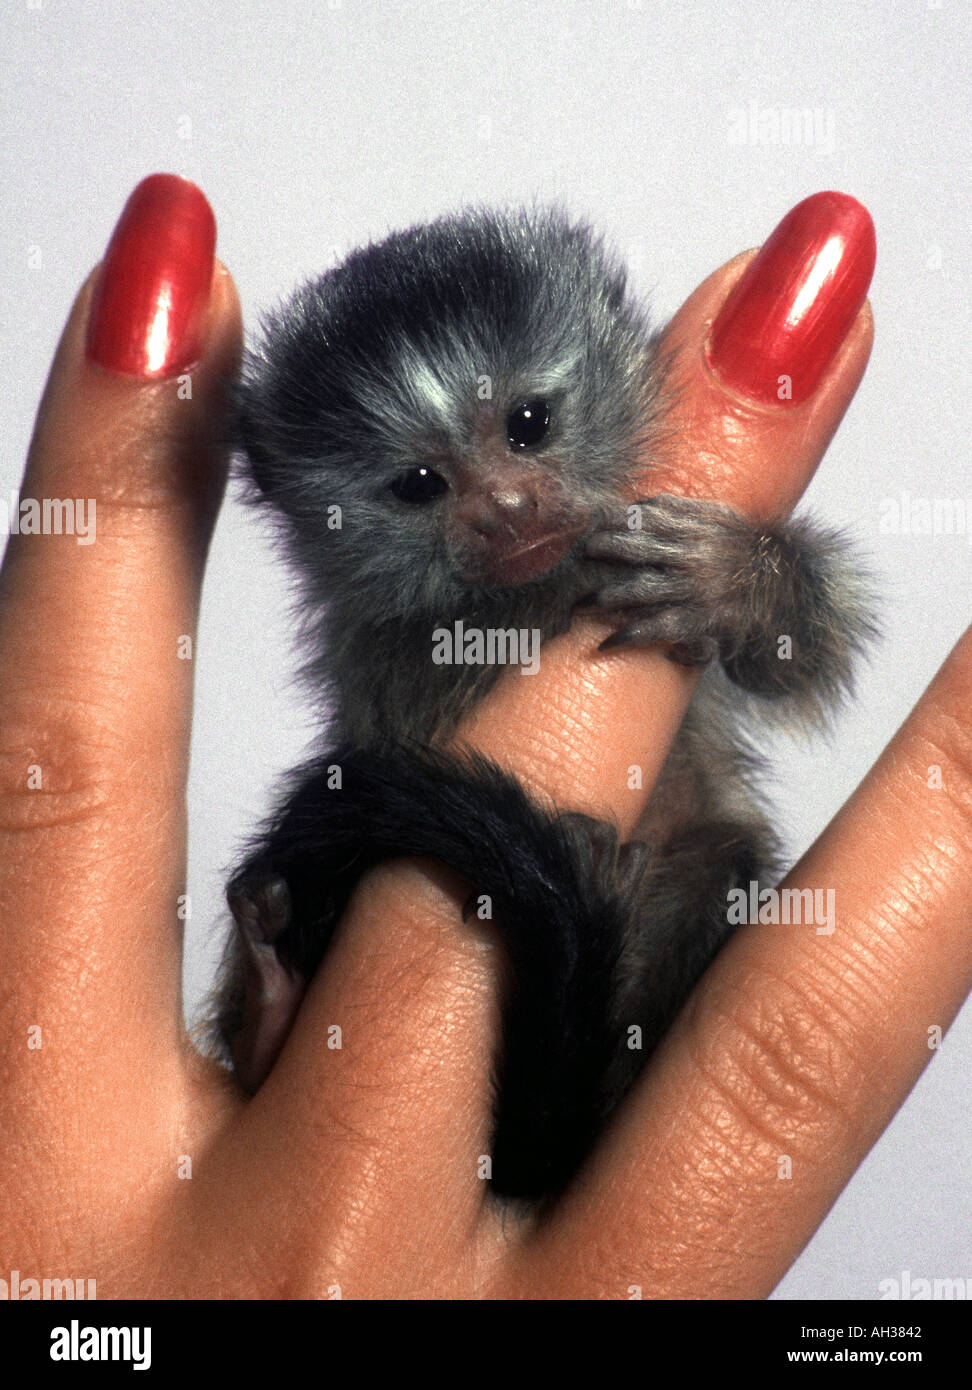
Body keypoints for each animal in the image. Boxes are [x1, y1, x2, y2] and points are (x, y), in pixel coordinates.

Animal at [209, 207, 876, 1203]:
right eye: (420, 484)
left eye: (528, 425)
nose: (510, 506)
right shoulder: (369, 642)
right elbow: (422, 677)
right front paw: (550, 590)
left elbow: (803, 656)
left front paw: (737, 586)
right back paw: (269, 1019)